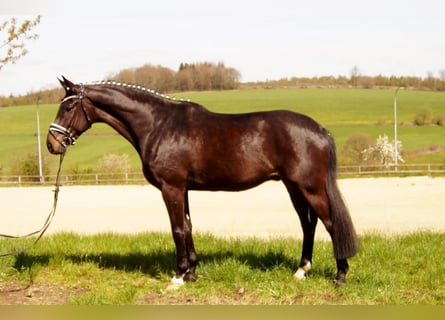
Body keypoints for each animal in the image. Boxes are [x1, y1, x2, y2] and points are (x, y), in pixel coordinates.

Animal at [46, 76, 358, 286]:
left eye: (68, 107)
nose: (52, 143)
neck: (158, 125)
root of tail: (320, 129)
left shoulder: (171, 188)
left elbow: (177, 230)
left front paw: (178, 276)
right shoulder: (182, 189)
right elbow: (187, 226)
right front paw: (192, 272)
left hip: (310, 188)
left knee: (330, 224)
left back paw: (340, 275)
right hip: (293, 187)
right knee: (308, 224)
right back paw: (301, 270)